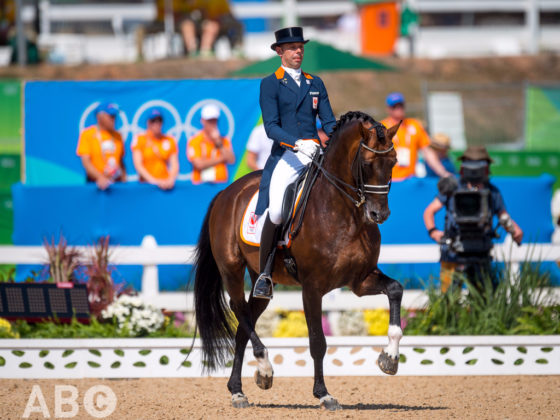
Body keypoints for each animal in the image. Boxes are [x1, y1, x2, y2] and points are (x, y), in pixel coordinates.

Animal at [192, 110, 402, 410]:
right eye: (367, 162)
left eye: (394, 161)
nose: (379, 214)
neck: (344, 213)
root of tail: (226, 193)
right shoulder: (312, 288)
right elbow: (317, 342)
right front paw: (324, 394)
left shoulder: (360, 280)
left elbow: (395, 289)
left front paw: (390, 358)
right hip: (231, 268)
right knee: (238, 309)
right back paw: (265, 368)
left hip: (262, 280)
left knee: (245, 323)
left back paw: (239, 389)